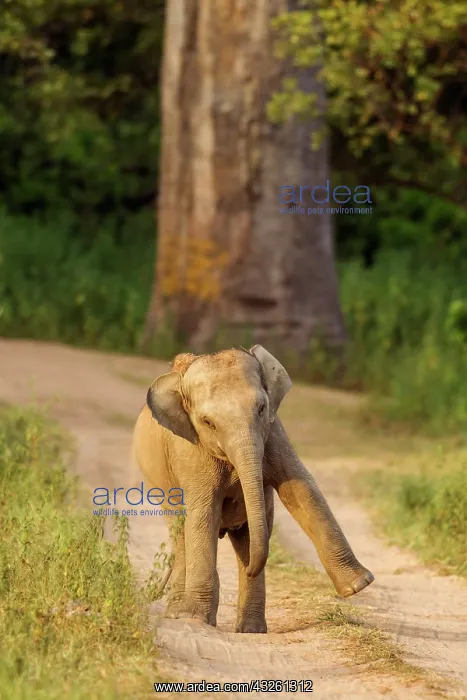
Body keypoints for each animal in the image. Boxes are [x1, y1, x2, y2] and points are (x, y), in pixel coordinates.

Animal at [132, 345, 374, 633]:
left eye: (261, 408)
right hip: (160, 484)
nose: (251, 570)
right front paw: (195, 619)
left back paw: (250, 628)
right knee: (181, 533)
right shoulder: (190, 450)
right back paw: (181, 614)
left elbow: (300, 488)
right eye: (208, 423)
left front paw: (358, 585)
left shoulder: (273, 431)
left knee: (246, 537)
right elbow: (202, 514)